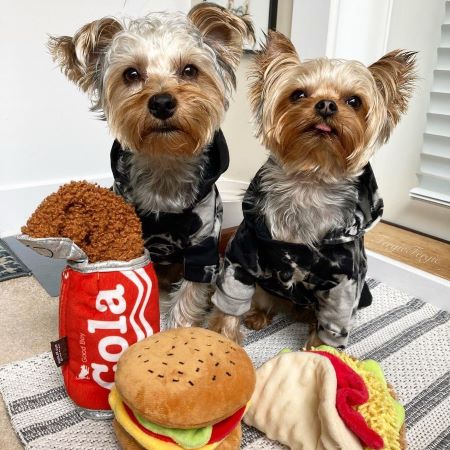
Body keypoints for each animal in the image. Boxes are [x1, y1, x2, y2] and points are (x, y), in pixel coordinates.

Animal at [48, 2, 253, 326]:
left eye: (190, 70)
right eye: (131, 74)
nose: (162, 102)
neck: (164, 160)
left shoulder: (203, 243)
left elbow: (189, 292)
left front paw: (175, 327)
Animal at [209, 31, 416, 346]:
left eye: (354, 101)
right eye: (298, 94)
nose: (327, 105)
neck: (310, 178)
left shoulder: (343, 284)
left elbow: (331, 325)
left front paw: (320, 353)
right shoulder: (243, 257)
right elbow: (230, 304)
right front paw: (224, 339)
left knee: (313, 315)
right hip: (265, 287)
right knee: (265, 300)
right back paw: (258, 316)